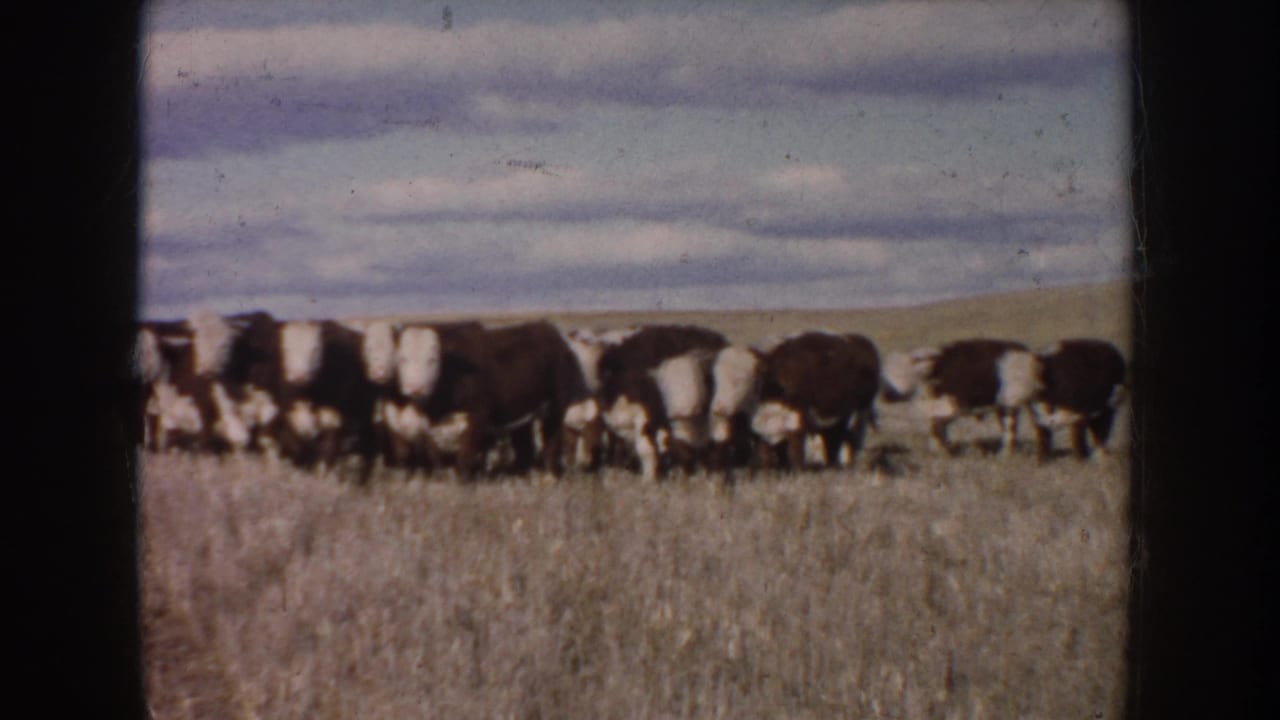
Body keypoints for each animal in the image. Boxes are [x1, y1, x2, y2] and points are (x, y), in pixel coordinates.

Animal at [880, 338, 1039, 457]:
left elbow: (938, 430)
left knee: (1010, 429)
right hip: (1003, 406)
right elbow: (938, 430)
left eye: (900, 372)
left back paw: (1004, 454)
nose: (886, 395)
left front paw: (941, 451)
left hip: (1010, 405)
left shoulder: (946, 407)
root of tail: (1024, 351)